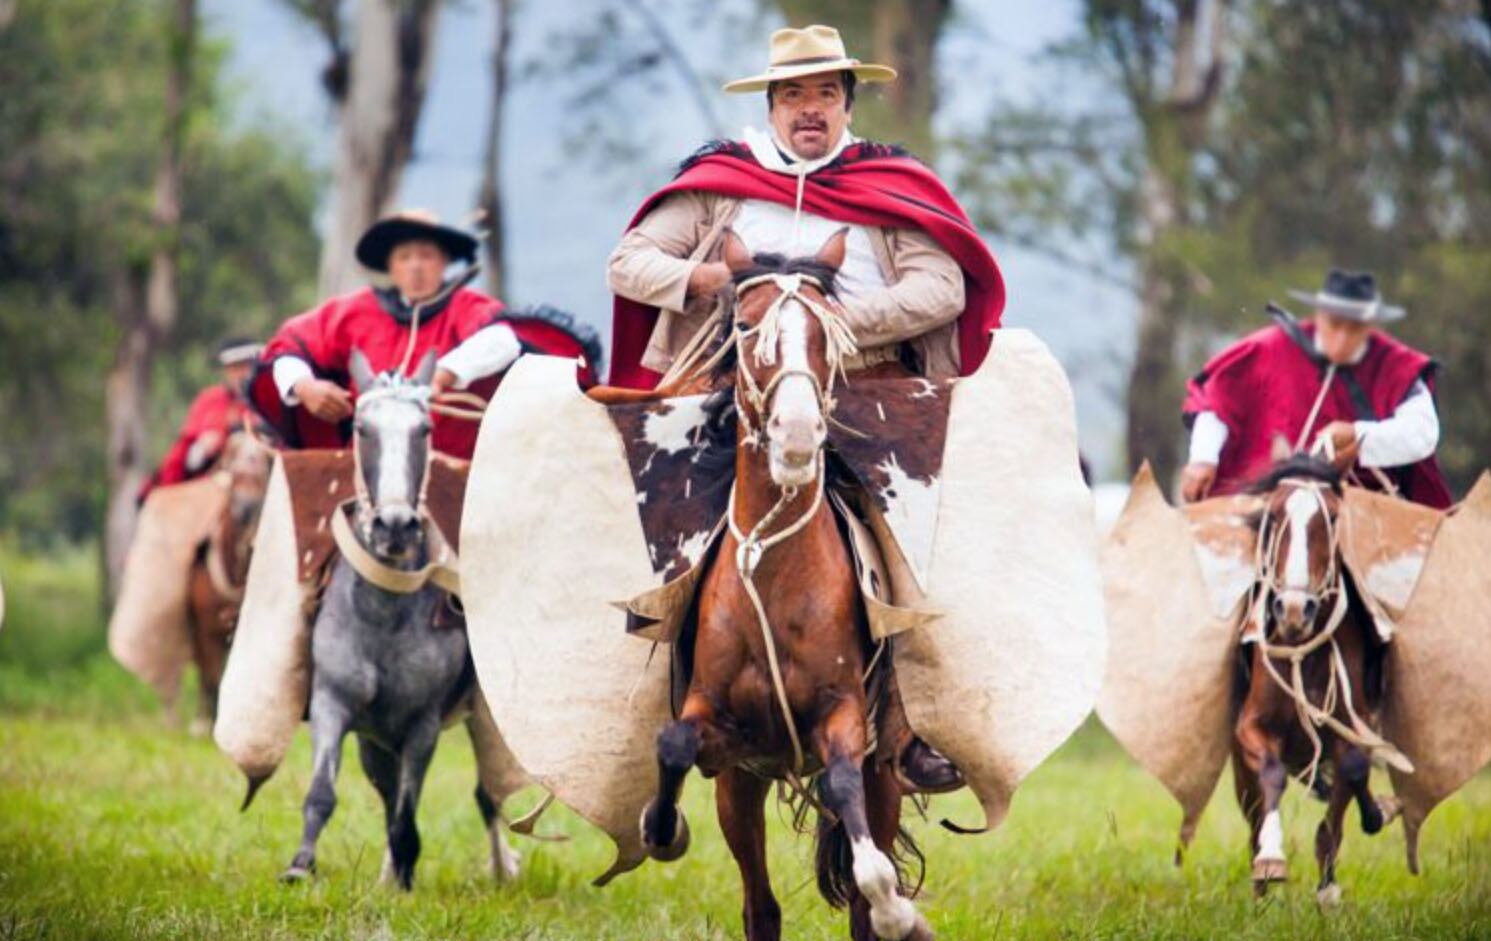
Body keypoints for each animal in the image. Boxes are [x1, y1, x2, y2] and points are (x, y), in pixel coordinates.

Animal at [281, 351, 521, 888]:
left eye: (424, 429)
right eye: (361, 428)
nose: (394, 526)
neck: (382, 613)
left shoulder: (421, 724)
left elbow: (408, 814)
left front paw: (406, 874)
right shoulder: (333, 705)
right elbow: (324, 793)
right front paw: (301, 865)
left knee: (487, 794)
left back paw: (502, 866)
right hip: (375, 741)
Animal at [635, 229, 924, 941]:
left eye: (831, 331)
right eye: (744, 327)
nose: (795, 434)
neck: (774, 570)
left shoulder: (846, 717)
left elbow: (850, 803)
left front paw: (897, 906)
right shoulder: (723, 735)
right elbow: (674, 743)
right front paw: (660, 827)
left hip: (884, 775)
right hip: (741, 789)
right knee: (760, 907)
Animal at [1228, 453, 1401, 906]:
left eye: (1333, 518)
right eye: (1273, 516)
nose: (1292, 609)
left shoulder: (1352, 726)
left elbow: (1352, 774)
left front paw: (1328, 889)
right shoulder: (1251, 727)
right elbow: (1270, 774)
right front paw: (1271, 860)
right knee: (1252, 814)